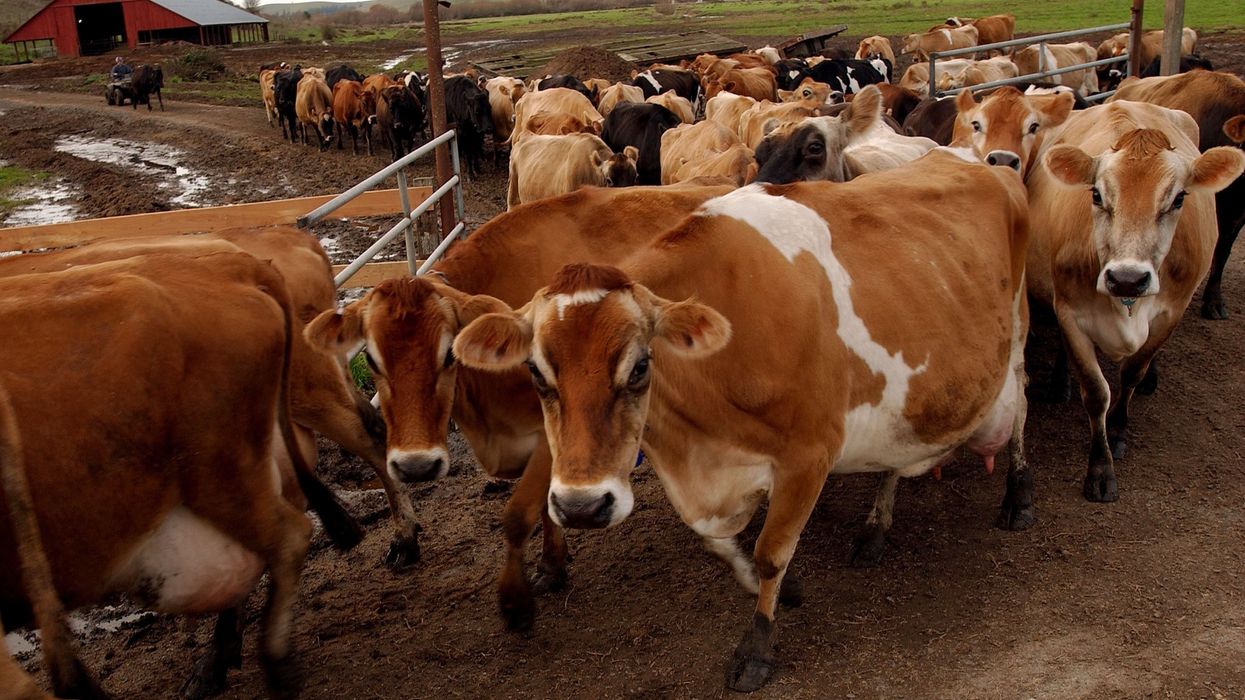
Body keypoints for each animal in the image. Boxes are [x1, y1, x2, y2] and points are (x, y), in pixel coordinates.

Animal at [303, 184, 733, 633]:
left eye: (449, 355)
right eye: (370, 359)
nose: (416, 466)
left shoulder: (551, 435)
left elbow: (517, 515)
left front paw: (517, 599)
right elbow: (545, 508)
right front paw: (554, 563)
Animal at [451, 149, 1033, 691]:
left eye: (640, 366)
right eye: (535, 371)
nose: (581, 506)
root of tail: (982, 160)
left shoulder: (809, 454)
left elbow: (772, 551)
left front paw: (757, 646)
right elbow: (718, 541)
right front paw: (773, 584)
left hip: (1017, 340)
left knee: (1022, 411)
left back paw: (1018, 497)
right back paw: (874, 530)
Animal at [1026, 101, 1244, 502]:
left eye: (1178, 198)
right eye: (1096, 194)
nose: (1127, 277)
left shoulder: (1172, 311)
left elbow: (1132, 371)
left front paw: (1117, 431)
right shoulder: (1070, 312)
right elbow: (1096, 390)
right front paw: (1100, 470)